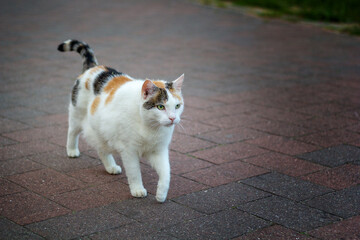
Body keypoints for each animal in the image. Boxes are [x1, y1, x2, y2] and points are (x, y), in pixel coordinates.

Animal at [58, 39, 186, 202]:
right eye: (160, 106)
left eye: (177, 106)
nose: (172, 118)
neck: (150, 127)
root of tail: (94, 68)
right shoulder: (129, 151)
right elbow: (134, 172)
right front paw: (138, 190)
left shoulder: (159, 150)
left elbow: (166, 173)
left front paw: (161, 195)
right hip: (77, 114)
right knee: (72, 132)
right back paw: (72, 150)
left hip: (101, 129)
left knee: (101, 148)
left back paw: (111, 167)